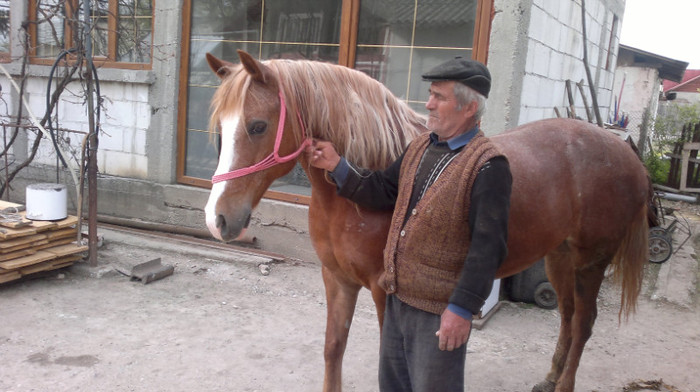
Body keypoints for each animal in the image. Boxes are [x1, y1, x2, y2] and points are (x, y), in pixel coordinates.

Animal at [202, 49, 652, 392]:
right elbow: (333, 348)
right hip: (559, 258)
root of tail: (626, 153)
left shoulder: (384, 291)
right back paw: (550, 378)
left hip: (591, 262)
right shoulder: (337, 279)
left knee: (584, 324)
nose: (216, 219)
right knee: (568, 319)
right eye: (221, 128)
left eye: (257, 126)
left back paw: (564, 383)